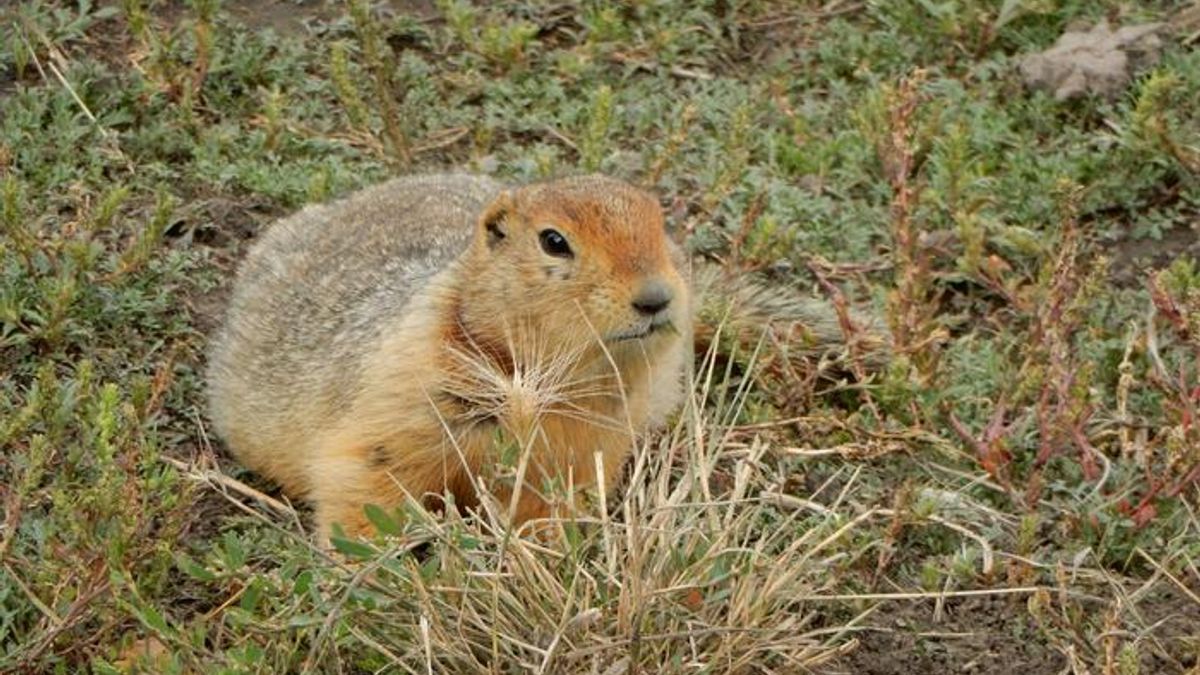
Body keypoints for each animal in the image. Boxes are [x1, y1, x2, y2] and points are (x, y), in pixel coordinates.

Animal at [206, 173, 888, 540]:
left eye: (659, 223)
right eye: (554, 241)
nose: (658, 296)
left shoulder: (587, 444)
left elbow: (551, 501)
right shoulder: (403, 395)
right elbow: (368, 478)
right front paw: (374, 569)